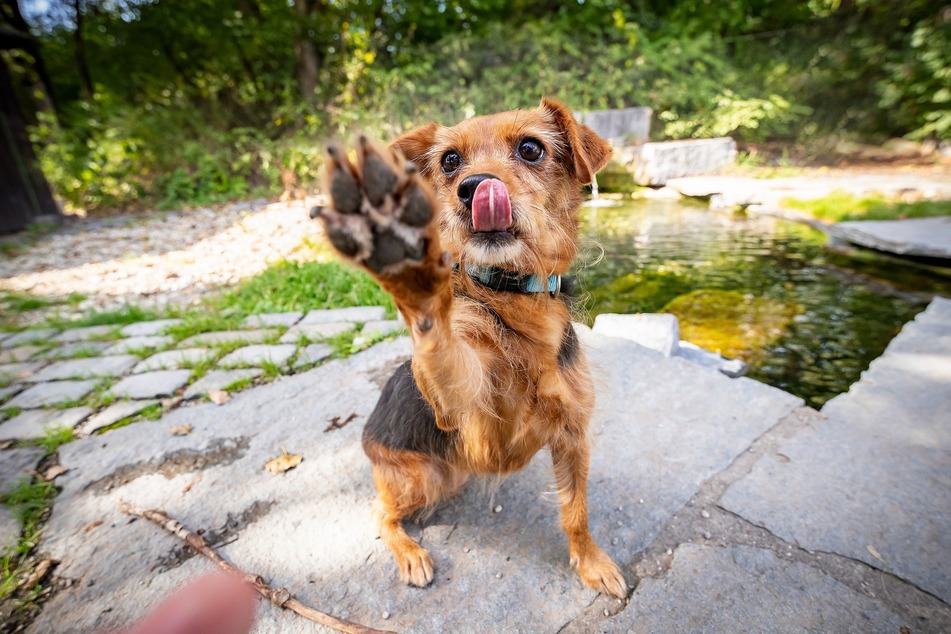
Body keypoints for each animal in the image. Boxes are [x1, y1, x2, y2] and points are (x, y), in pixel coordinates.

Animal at [312, 99, 628, 596]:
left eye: (531, 148)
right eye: (449, 161)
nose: (474, 187)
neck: (512, 295)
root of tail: (365, 436)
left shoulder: (573, 433)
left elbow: (576, 511)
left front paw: (590, 561)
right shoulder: (474, 418)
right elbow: (442, 343)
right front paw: (408, 266)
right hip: (422, 476)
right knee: (379, 513)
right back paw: (410, 552)